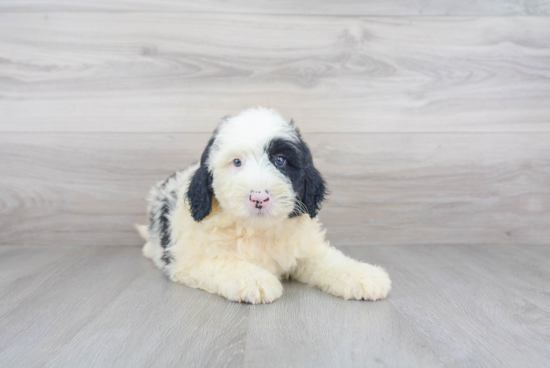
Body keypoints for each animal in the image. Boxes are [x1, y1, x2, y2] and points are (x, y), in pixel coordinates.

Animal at [140, 108, 394, 304]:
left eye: (280, 160)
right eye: (237, 162)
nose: (259, 197)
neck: (257, 230)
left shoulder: (304, 247)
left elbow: (328, 260)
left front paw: (363, 275)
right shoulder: (190, 257)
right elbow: (221, 261)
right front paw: (254, 280)